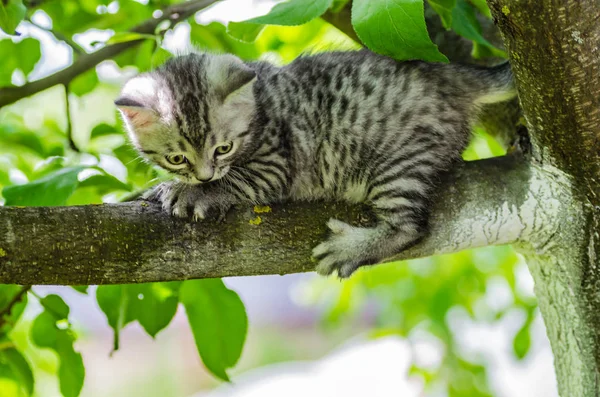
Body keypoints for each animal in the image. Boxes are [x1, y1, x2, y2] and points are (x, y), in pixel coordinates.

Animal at [117, 49, 516, 276]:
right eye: (177, 158)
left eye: (223, 149)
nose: (203, 176)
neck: (260, 102)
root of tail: (449, 74)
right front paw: (168, 187)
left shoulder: (274, 165)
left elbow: (236, 179)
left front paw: (191, 193)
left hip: (399, 162)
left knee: (411, 226)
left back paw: (350, 249)